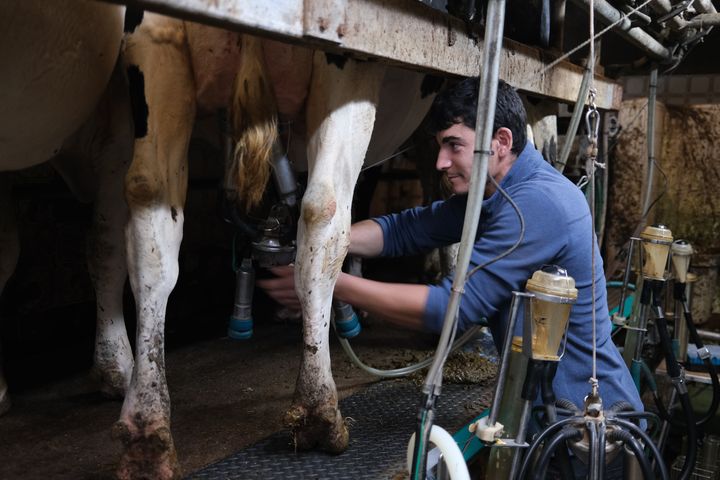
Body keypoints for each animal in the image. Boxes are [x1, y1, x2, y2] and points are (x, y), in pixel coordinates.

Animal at [119, 11, 438, 480]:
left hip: (156, 57)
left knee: (149, 215)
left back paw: (146, 433)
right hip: (347, 71)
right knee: (323, 211)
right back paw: (319, 411)